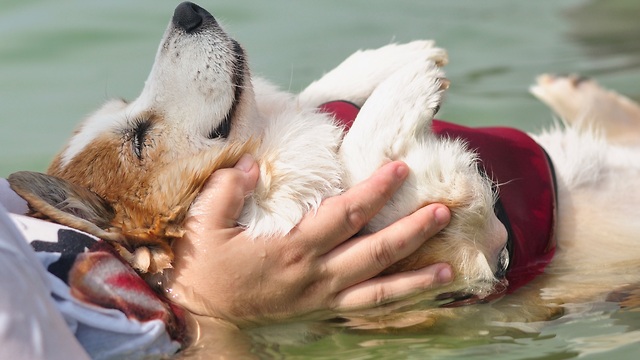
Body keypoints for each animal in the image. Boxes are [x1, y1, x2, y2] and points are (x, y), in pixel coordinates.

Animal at [8, 1, 640, 330]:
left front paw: (394, 58)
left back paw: (573, 91)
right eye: (139, 137)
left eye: (126, 108)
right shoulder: (476, 240)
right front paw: (409, 80)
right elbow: (355, 158)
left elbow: (320, 101)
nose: (188, 10)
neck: (263, 153)